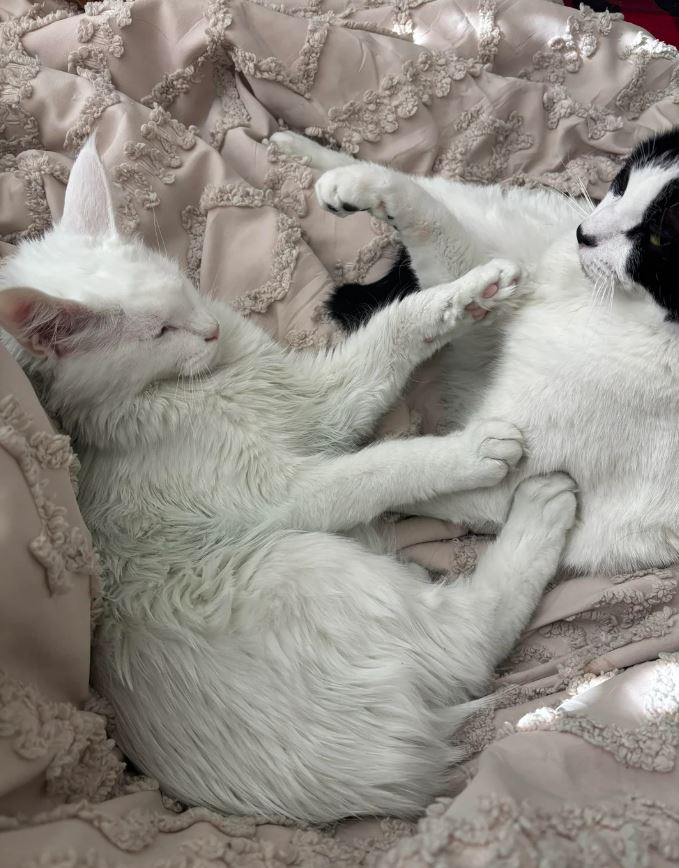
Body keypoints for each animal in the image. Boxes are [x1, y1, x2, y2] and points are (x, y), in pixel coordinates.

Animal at [274, 127, 679, 576]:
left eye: (659, 239)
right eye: (622, 184)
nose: (583, 236)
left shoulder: (509, 477)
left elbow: (386, 479)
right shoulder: (487, 322)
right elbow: (431, 222)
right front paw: (352, 181)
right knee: (438, 191)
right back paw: (302, 152)